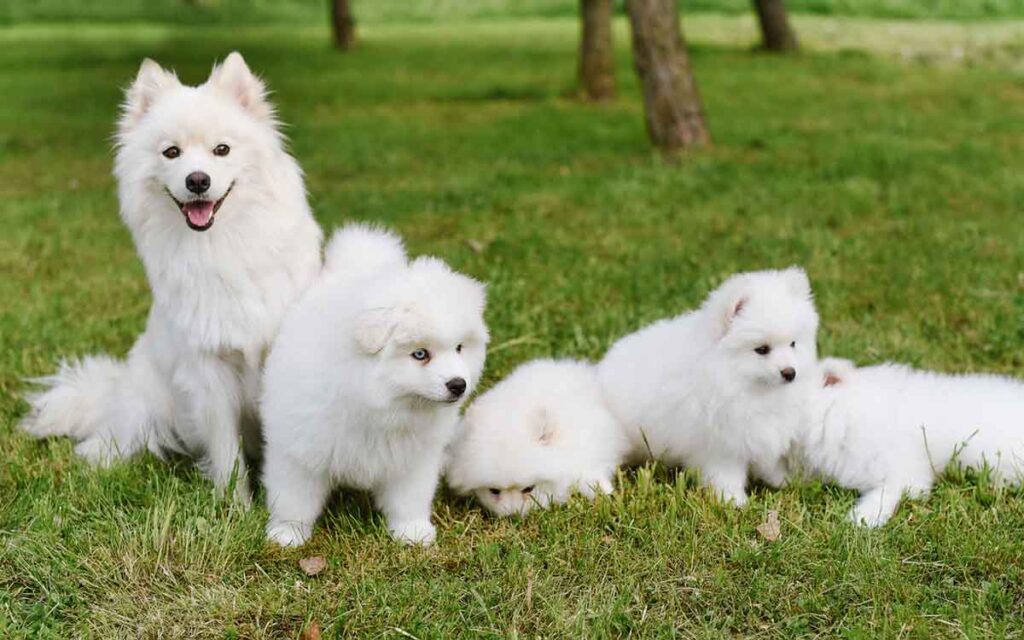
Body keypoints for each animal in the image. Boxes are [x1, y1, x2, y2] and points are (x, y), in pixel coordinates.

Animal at [20, 51, 323, 499]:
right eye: (171, 153)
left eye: (221, 149)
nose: (197, 180)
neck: (220, 246)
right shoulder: (209, 372)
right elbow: (226, 452)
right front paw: (236, 507)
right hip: (145, 405)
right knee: (115, 438)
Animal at [262, 223, 489, 544]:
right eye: (420, 354)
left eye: (459, 348)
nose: (458, 384)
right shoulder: (300, 448)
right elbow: (295, 497)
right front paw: (287, 533)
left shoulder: (412, 458)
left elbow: (408, 498)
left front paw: (412, 531)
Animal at [598, 266, 819, 503]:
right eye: (761, 349)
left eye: (793, 344)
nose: (790, 372)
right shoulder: (720, 443)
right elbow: (726, 474)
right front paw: (733, 500)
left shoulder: (761, 430)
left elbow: (768, 461)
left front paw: (784, 481)